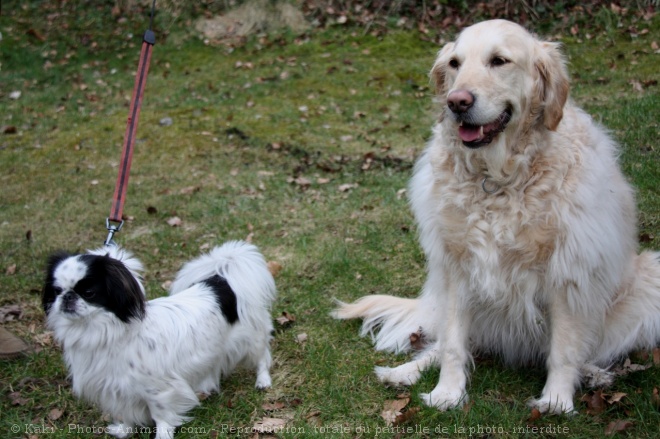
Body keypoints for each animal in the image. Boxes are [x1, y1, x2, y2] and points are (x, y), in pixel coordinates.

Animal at [43, 242, 276, 438]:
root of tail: (219, 281)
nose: (67, 297)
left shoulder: (158, 390)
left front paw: (162, 435)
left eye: (89, 292)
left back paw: (262, 381)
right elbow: (125, 413)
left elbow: (161, 416)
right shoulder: (118, 389)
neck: (100, 332)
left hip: (251, 339)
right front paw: (124, 430)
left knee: (262, 357)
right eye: (56, 291)